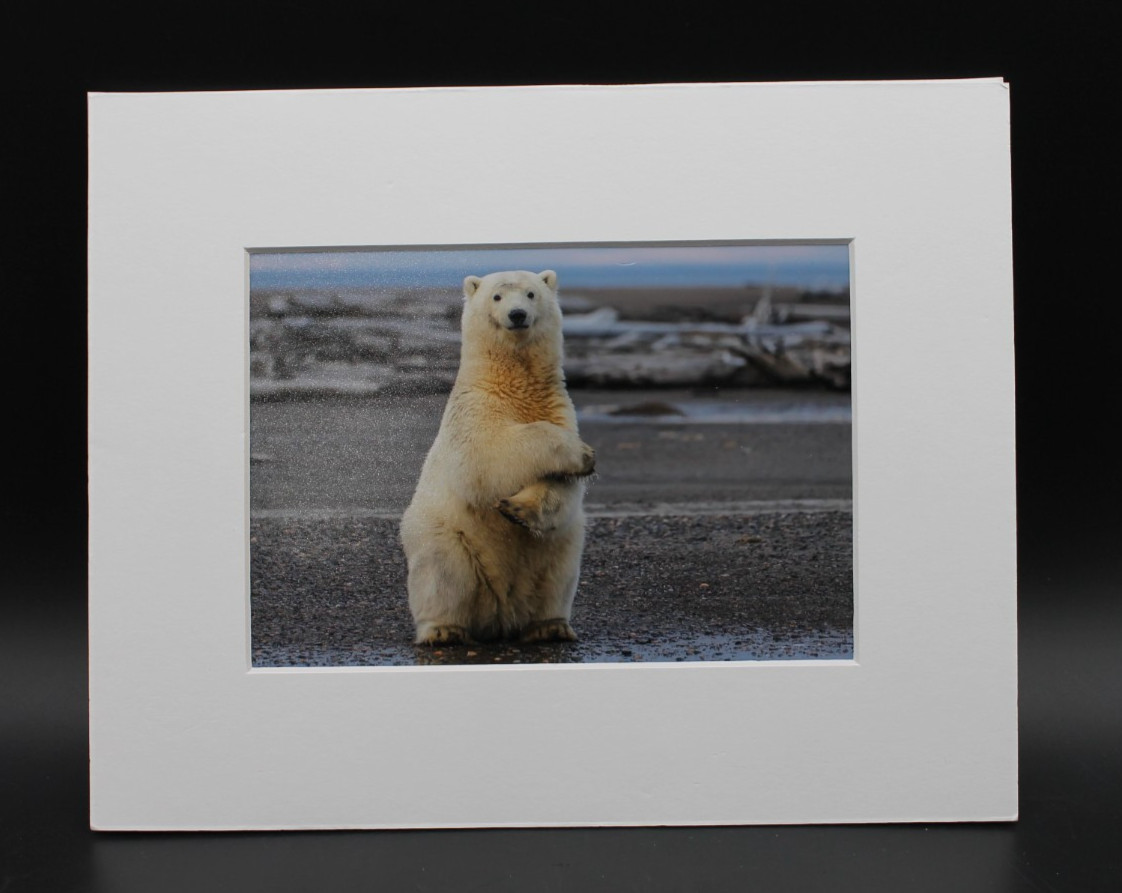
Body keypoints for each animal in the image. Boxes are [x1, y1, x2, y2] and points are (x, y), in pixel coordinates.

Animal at [400, 269, 595, 645]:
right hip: (448, 536)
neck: (514, 382)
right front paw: (583, 452)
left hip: (560, 547)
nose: (517, 315)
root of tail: (502, 613)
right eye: (497, 296)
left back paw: (549, 627)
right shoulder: (476, 408)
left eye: (531, 294)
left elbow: (560, 487)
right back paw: (443, 630)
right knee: (443, 573)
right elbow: (486, 455)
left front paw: (517, 509)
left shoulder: (558, 408)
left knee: (557, 575)